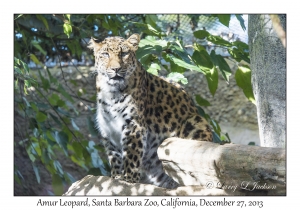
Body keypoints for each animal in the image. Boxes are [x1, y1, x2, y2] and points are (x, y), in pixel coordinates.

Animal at [87, 33, 213, 189]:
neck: (111, 92)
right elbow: (115, 157)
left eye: (124, 54)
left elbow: (131, 155)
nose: (116, 69)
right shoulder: (108, 130)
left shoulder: (134, 125)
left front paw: (128, 179)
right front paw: (116, 177)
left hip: (196, 123)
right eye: (105, 54)